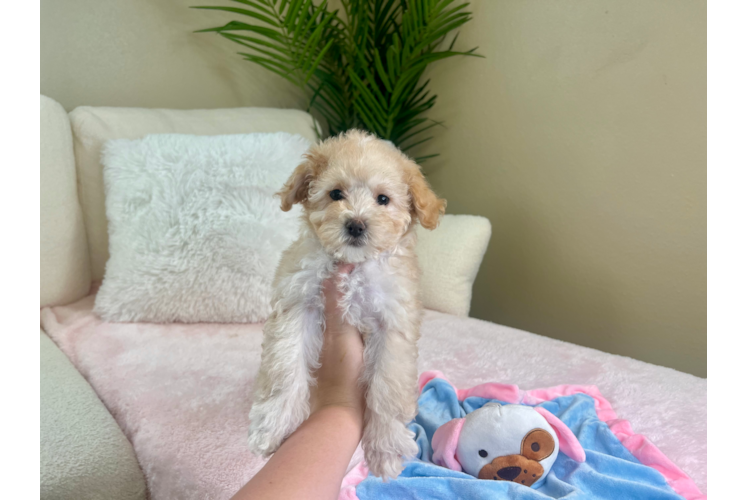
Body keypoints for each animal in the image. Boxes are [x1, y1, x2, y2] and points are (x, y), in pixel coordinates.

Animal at [247, 128, 444, 476]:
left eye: (383, 199)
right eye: (335, 193)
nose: (355, 224)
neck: (353, 267)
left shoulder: (393, 321)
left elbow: (388, 385)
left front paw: (385, 447)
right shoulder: (298, 301)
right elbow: (285, 365)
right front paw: (272, 424)